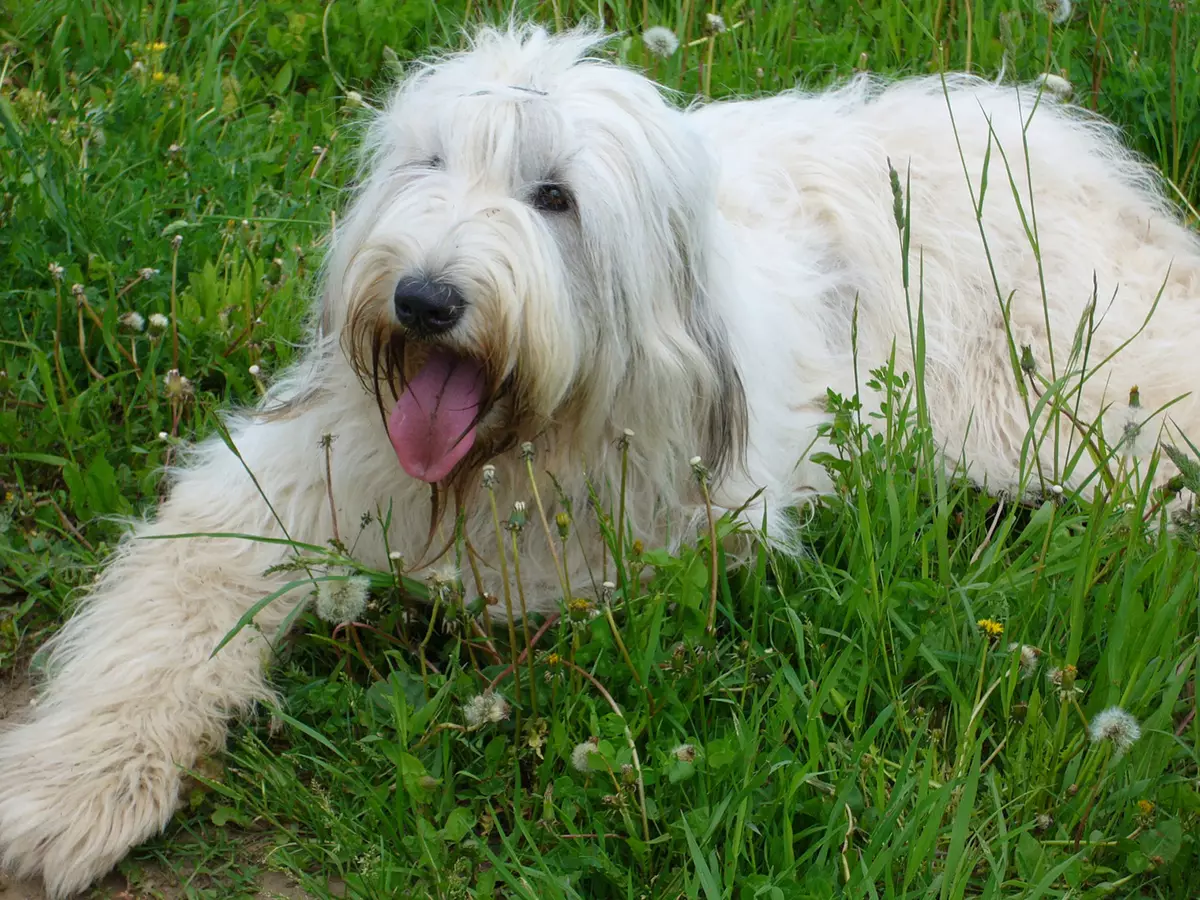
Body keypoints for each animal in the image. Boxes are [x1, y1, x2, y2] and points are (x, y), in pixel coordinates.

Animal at [2, 24, 1200, 897]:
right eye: (428, 166)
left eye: (554, 198)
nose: (423, 299)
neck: (511, 452)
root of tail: (1073, 151)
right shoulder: (283, 474)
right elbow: (167, 610)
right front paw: (71, 790)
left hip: (1057, 392)